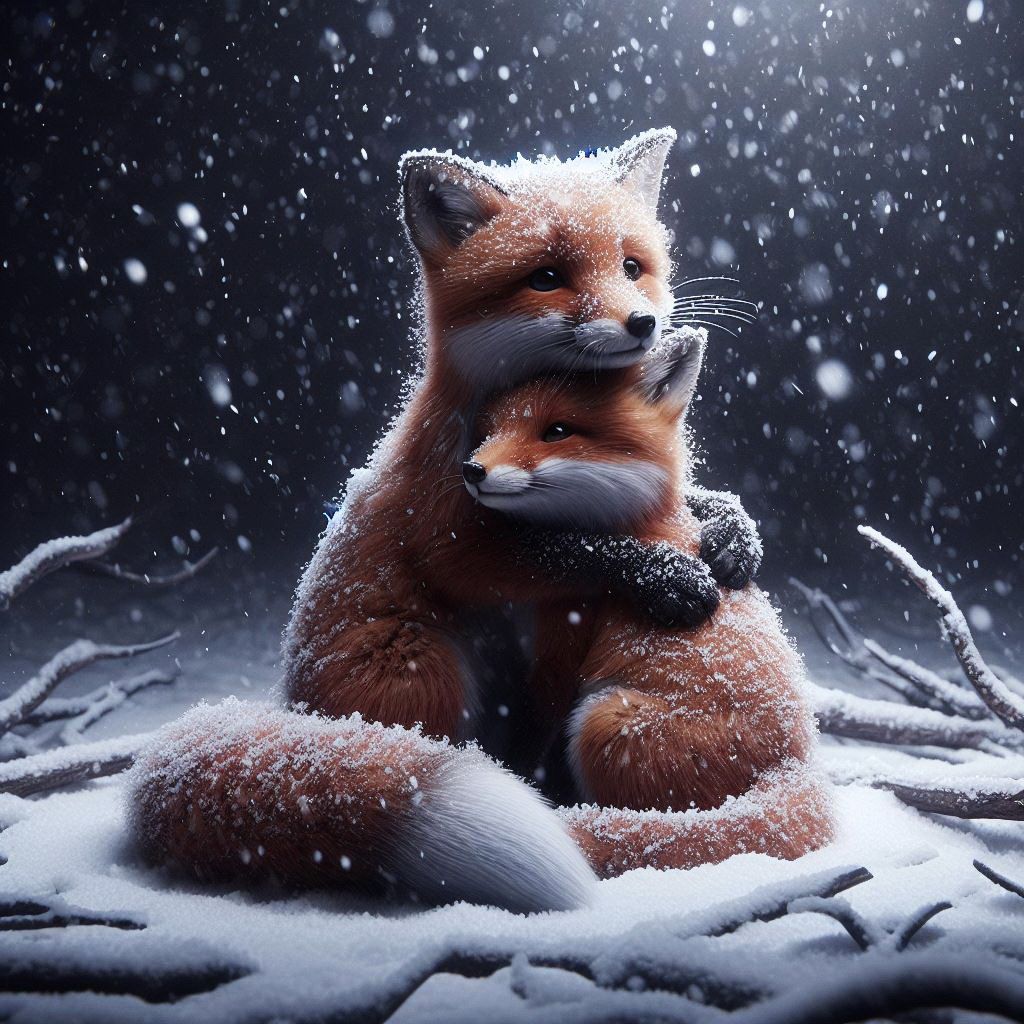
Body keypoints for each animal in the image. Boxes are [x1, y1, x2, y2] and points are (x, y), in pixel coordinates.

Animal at [128, 131, 773, 912]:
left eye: (631, 266)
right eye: (546, 276)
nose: (644, 325)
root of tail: (293, 709)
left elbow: (683, 507)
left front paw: (732, 530)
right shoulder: (448, 529)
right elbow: (567, 550)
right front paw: (661, 573)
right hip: (425, 664)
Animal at [462, 327, 835, 876]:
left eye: (556, 431)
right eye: (488, 431)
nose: (472, 470)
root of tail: (795, 759)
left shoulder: (561, 650)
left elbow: (530, 735)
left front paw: (519, 778)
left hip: (600, 720)